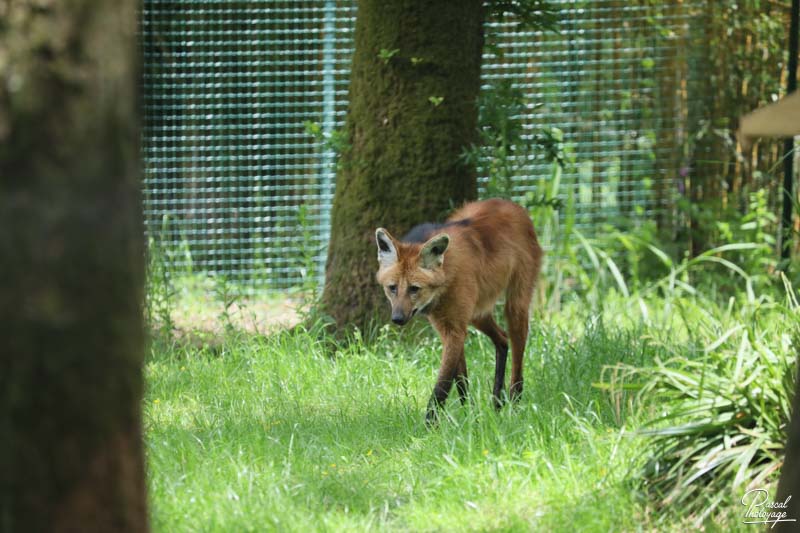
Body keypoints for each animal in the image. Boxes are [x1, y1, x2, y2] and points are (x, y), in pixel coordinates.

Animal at [376, 197, 544, 422]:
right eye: (392, 288)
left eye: (414, 289)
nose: (397, 319)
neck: (445, 280)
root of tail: (511, 204)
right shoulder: (448, 326)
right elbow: (460, 380)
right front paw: (469, 416)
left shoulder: (455, 330)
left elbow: (442, 386)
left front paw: (430, 425)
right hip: (476, 313)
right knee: (501, 338)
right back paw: (496, 402)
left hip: (514, 303)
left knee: (517, 351)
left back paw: (513, 405)